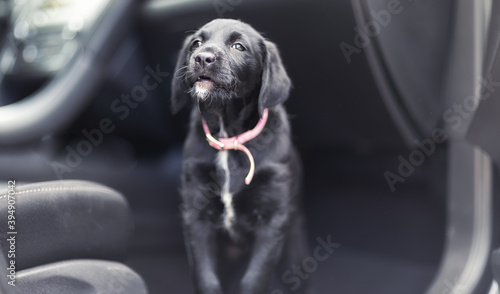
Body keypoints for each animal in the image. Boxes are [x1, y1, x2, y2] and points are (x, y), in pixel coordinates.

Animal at [172, 19, 308, 294]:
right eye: (196, 43)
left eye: (238, 46)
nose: (202, 58)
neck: (229, 139)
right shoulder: (196, 215)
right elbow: (206, 278)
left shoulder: (272, 219)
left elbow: (255, 278)